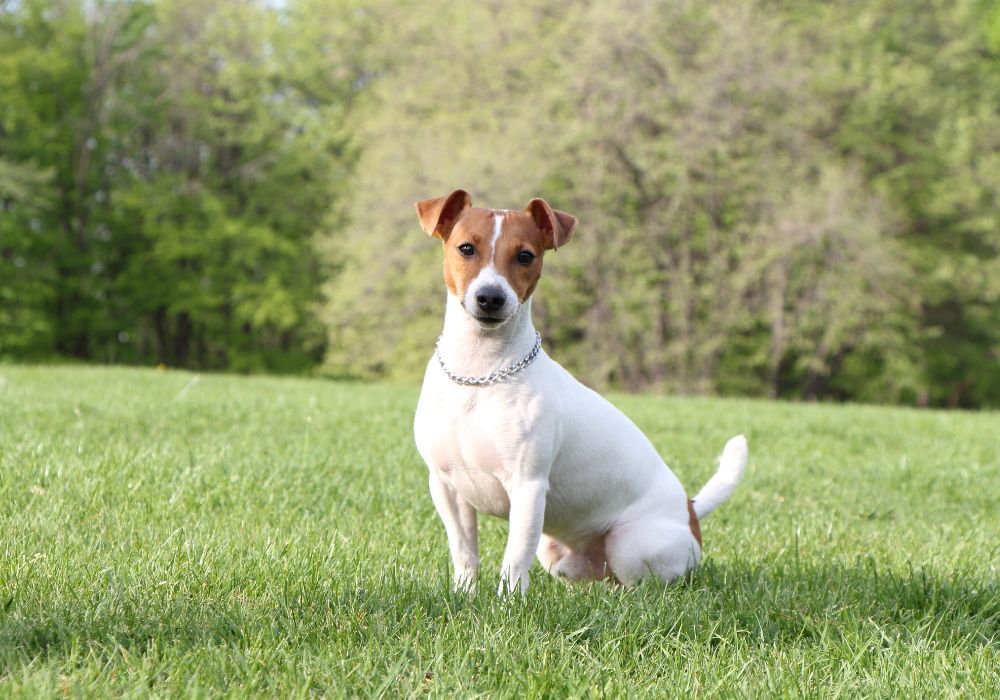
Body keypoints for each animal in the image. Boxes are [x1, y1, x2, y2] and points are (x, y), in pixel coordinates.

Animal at [410, 189, 748, 592]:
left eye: (526, 255)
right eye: (465, 248)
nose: (490, 297)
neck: (482, 372)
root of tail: (690, 511)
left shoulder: (528, 487)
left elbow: (514, 559)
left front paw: (507, 602)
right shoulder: (447, 488)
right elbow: (464, 554)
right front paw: (465, 596)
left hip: (629, 545)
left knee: (641, 584)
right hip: (556, 552)